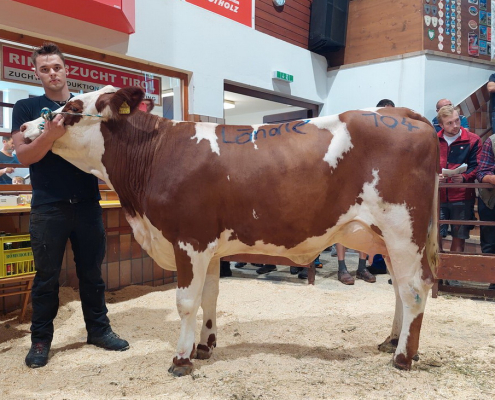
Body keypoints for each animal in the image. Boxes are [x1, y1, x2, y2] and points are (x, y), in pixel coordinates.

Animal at [21, 85, 442, 376]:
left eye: (74, 109)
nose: (23, 126)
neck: (156, 154)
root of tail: (401, 113)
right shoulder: (209, 247)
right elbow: (209, 296)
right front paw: (204, 346)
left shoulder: (190, 239)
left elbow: (185, 302)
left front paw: (181, 360)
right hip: (388, 237)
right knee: (401, 291)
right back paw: (392, 341)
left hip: (402, 228)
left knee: (414, 288)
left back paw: (403, 357)